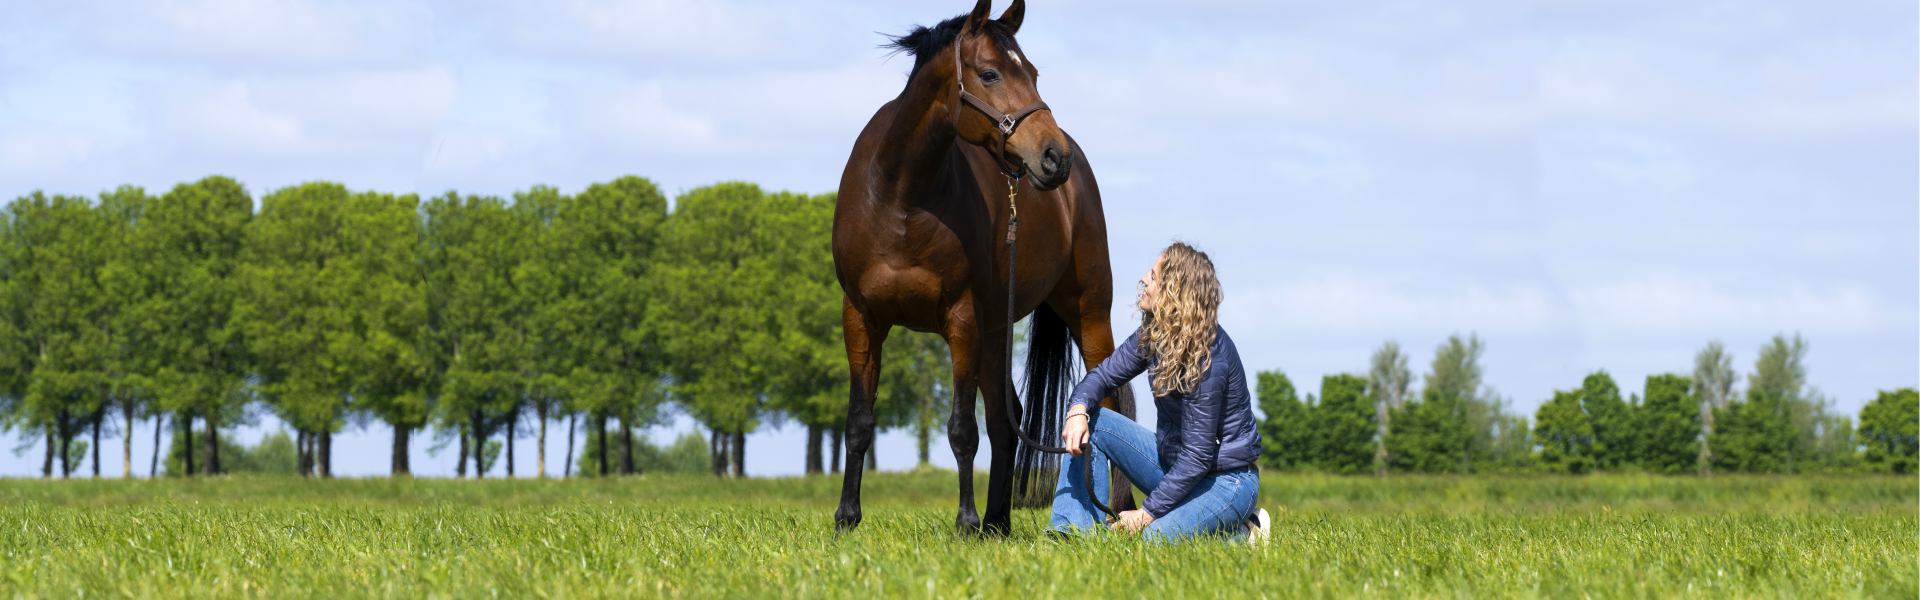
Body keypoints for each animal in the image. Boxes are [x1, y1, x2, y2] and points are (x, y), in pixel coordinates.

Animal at [831, 0, 1132, 535]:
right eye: (990, 73)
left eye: (1032, 72)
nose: (1054, 157)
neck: (900, 198)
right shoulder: (861, 319)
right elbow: (860, 422)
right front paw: (847, 518)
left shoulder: (961, 320)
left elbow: (961, 429)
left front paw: (965, 521)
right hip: (996, 331)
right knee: (1006, 418)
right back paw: (998, 523)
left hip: (1088, 313)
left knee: (1110, 404)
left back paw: (1113, 510)